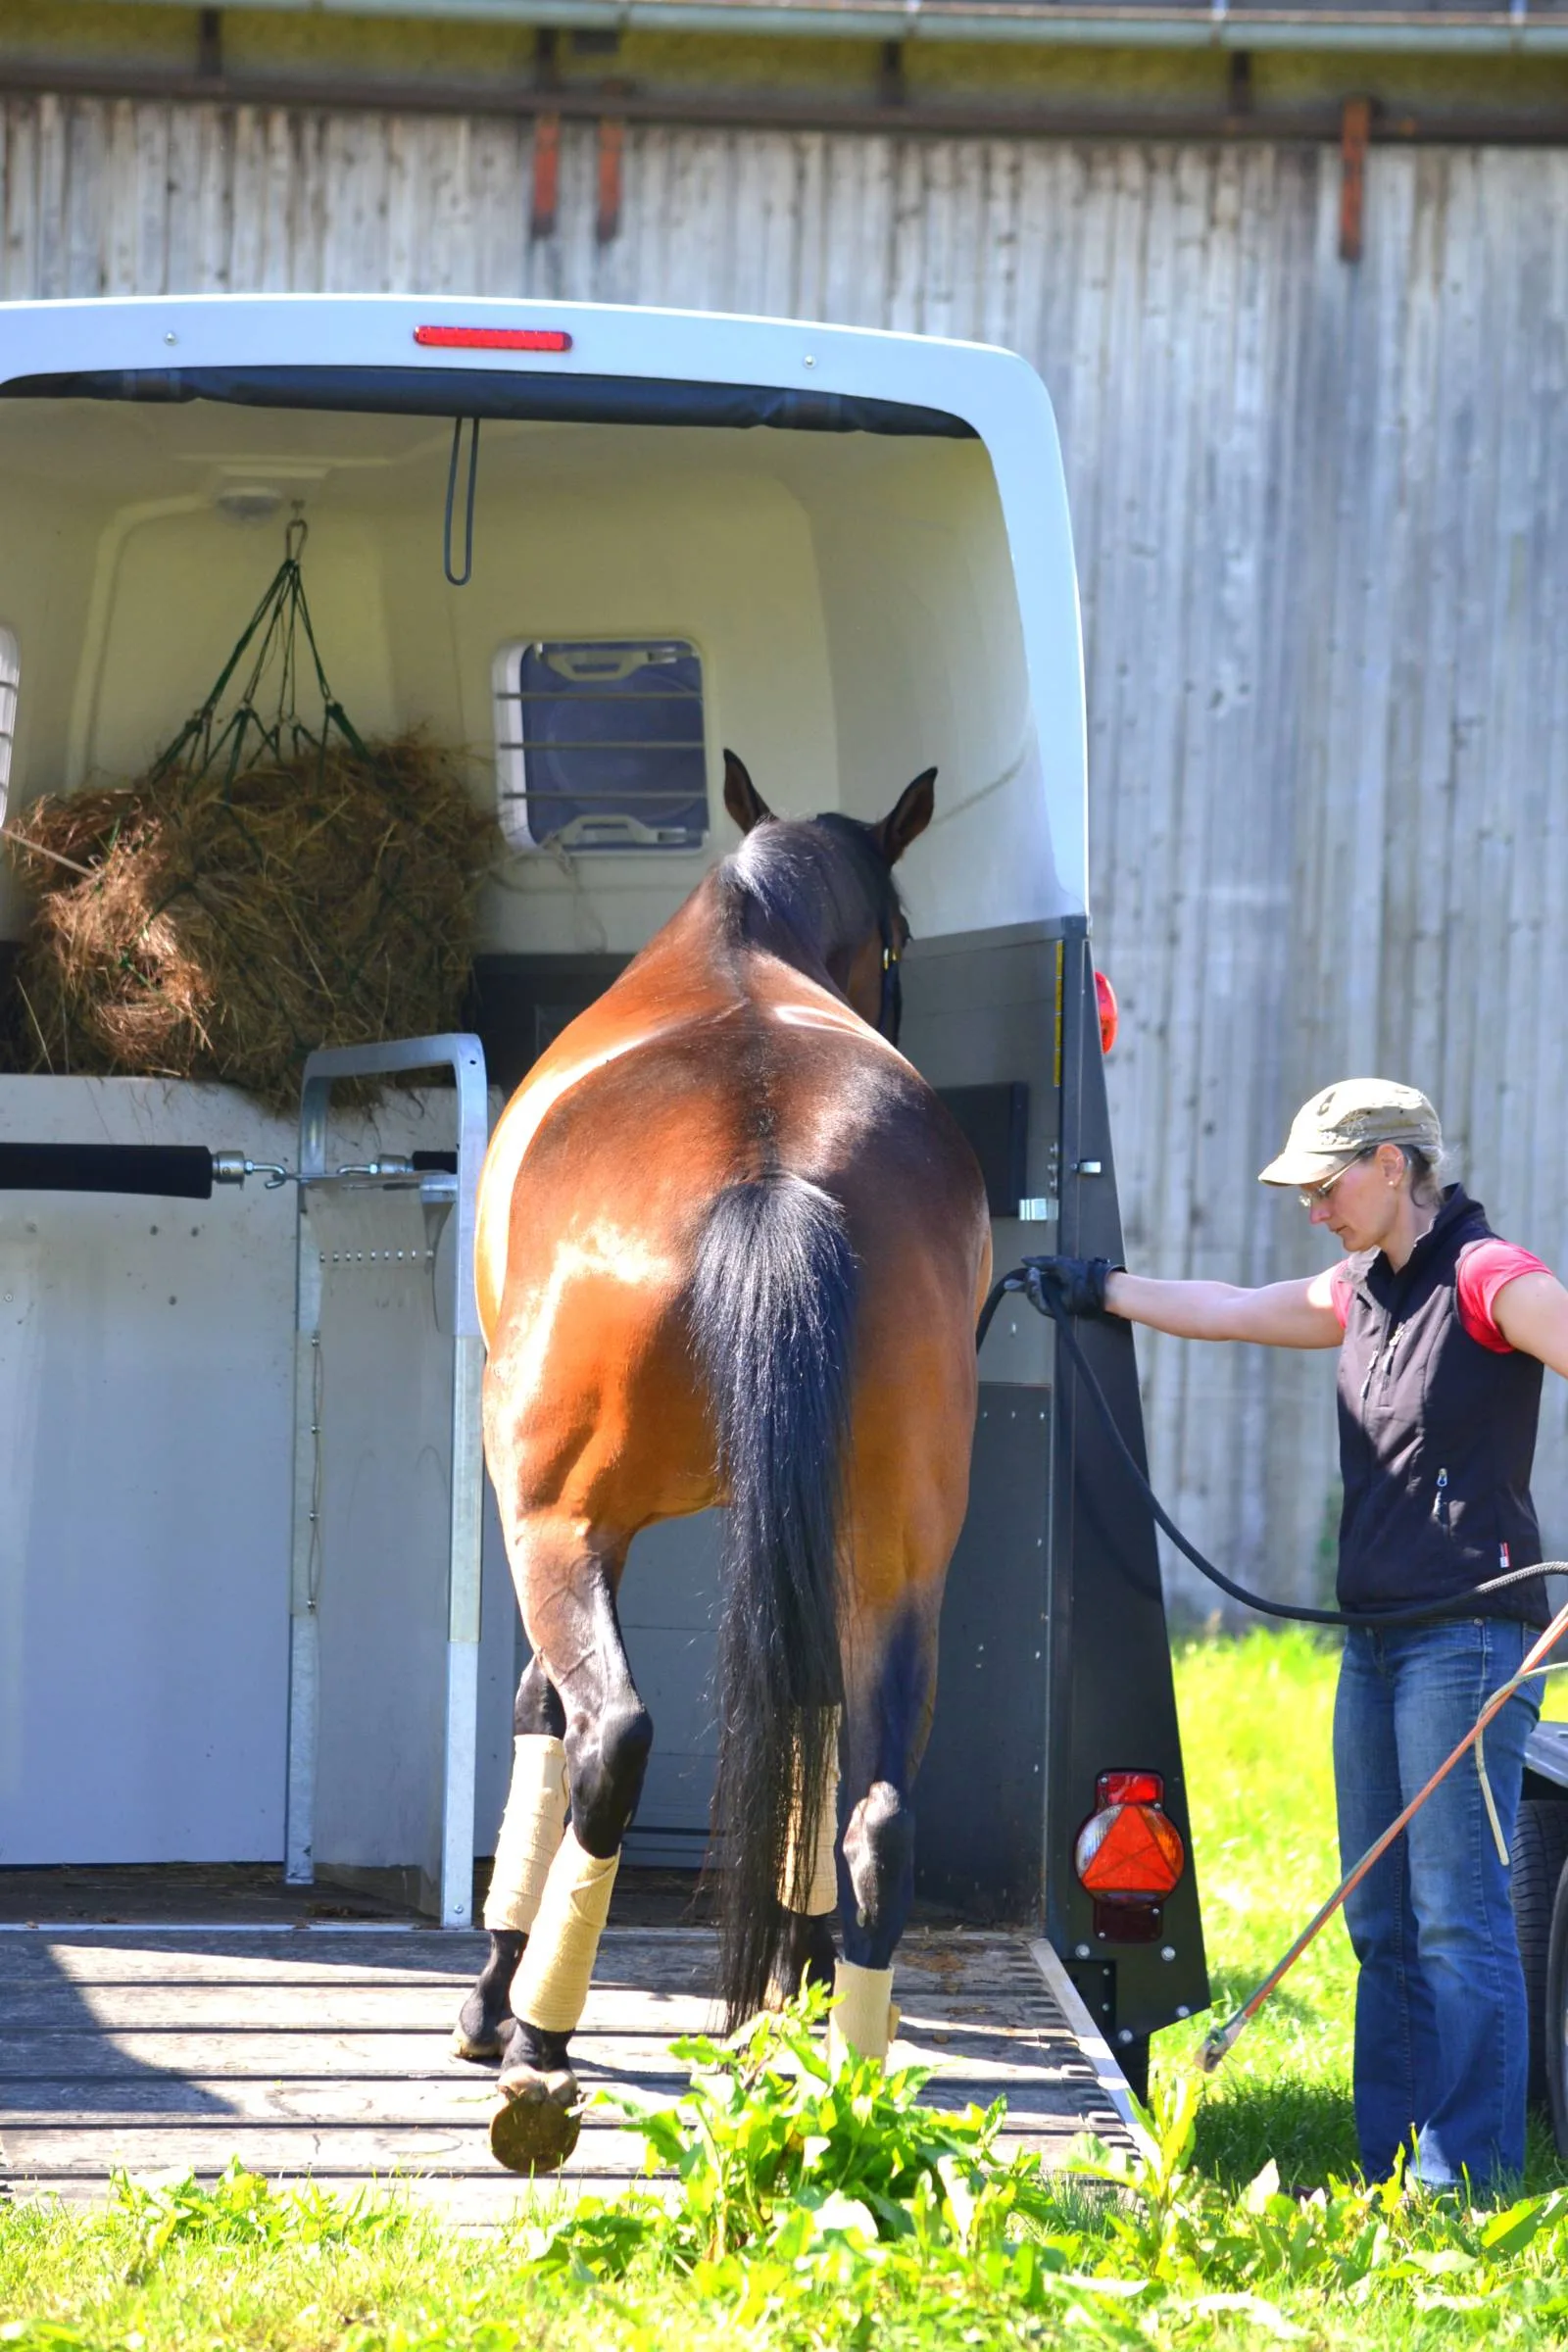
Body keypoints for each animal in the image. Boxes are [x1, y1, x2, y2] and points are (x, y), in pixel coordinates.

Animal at [453, 752, 991, 2174]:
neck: (739, 942)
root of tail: (769, 1163)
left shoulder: (576, 1527)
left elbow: (538, 1714)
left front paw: (492, 1998)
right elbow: (807, 1732)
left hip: (557, 1528)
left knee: (608, 1737)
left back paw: (540, 2042)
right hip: (893, 1558)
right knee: (872, 1807)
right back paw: (845, 2084)